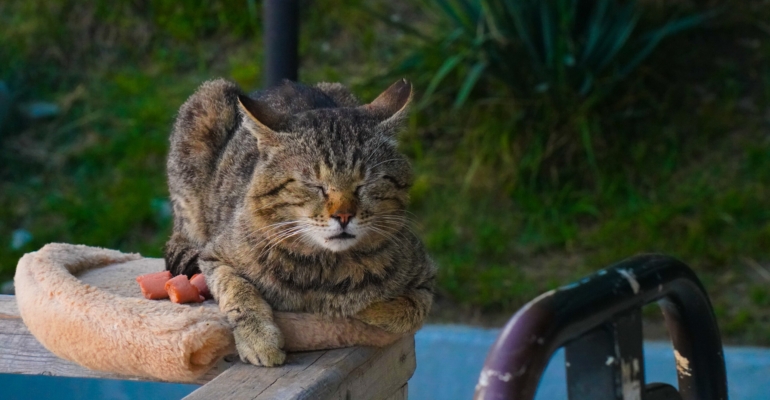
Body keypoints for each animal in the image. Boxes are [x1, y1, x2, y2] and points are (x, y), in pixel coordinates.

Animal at [163, 77, 436, 366]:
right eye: (314, 185)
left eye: (365, 184)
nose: (343, 216)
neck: (325, 269)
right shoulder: (216, 256)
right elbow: (238, 292)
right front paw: (259, 340)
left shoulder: (426, 279)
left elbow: (406, 311)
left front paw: (355, 309)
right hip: (206, 106)